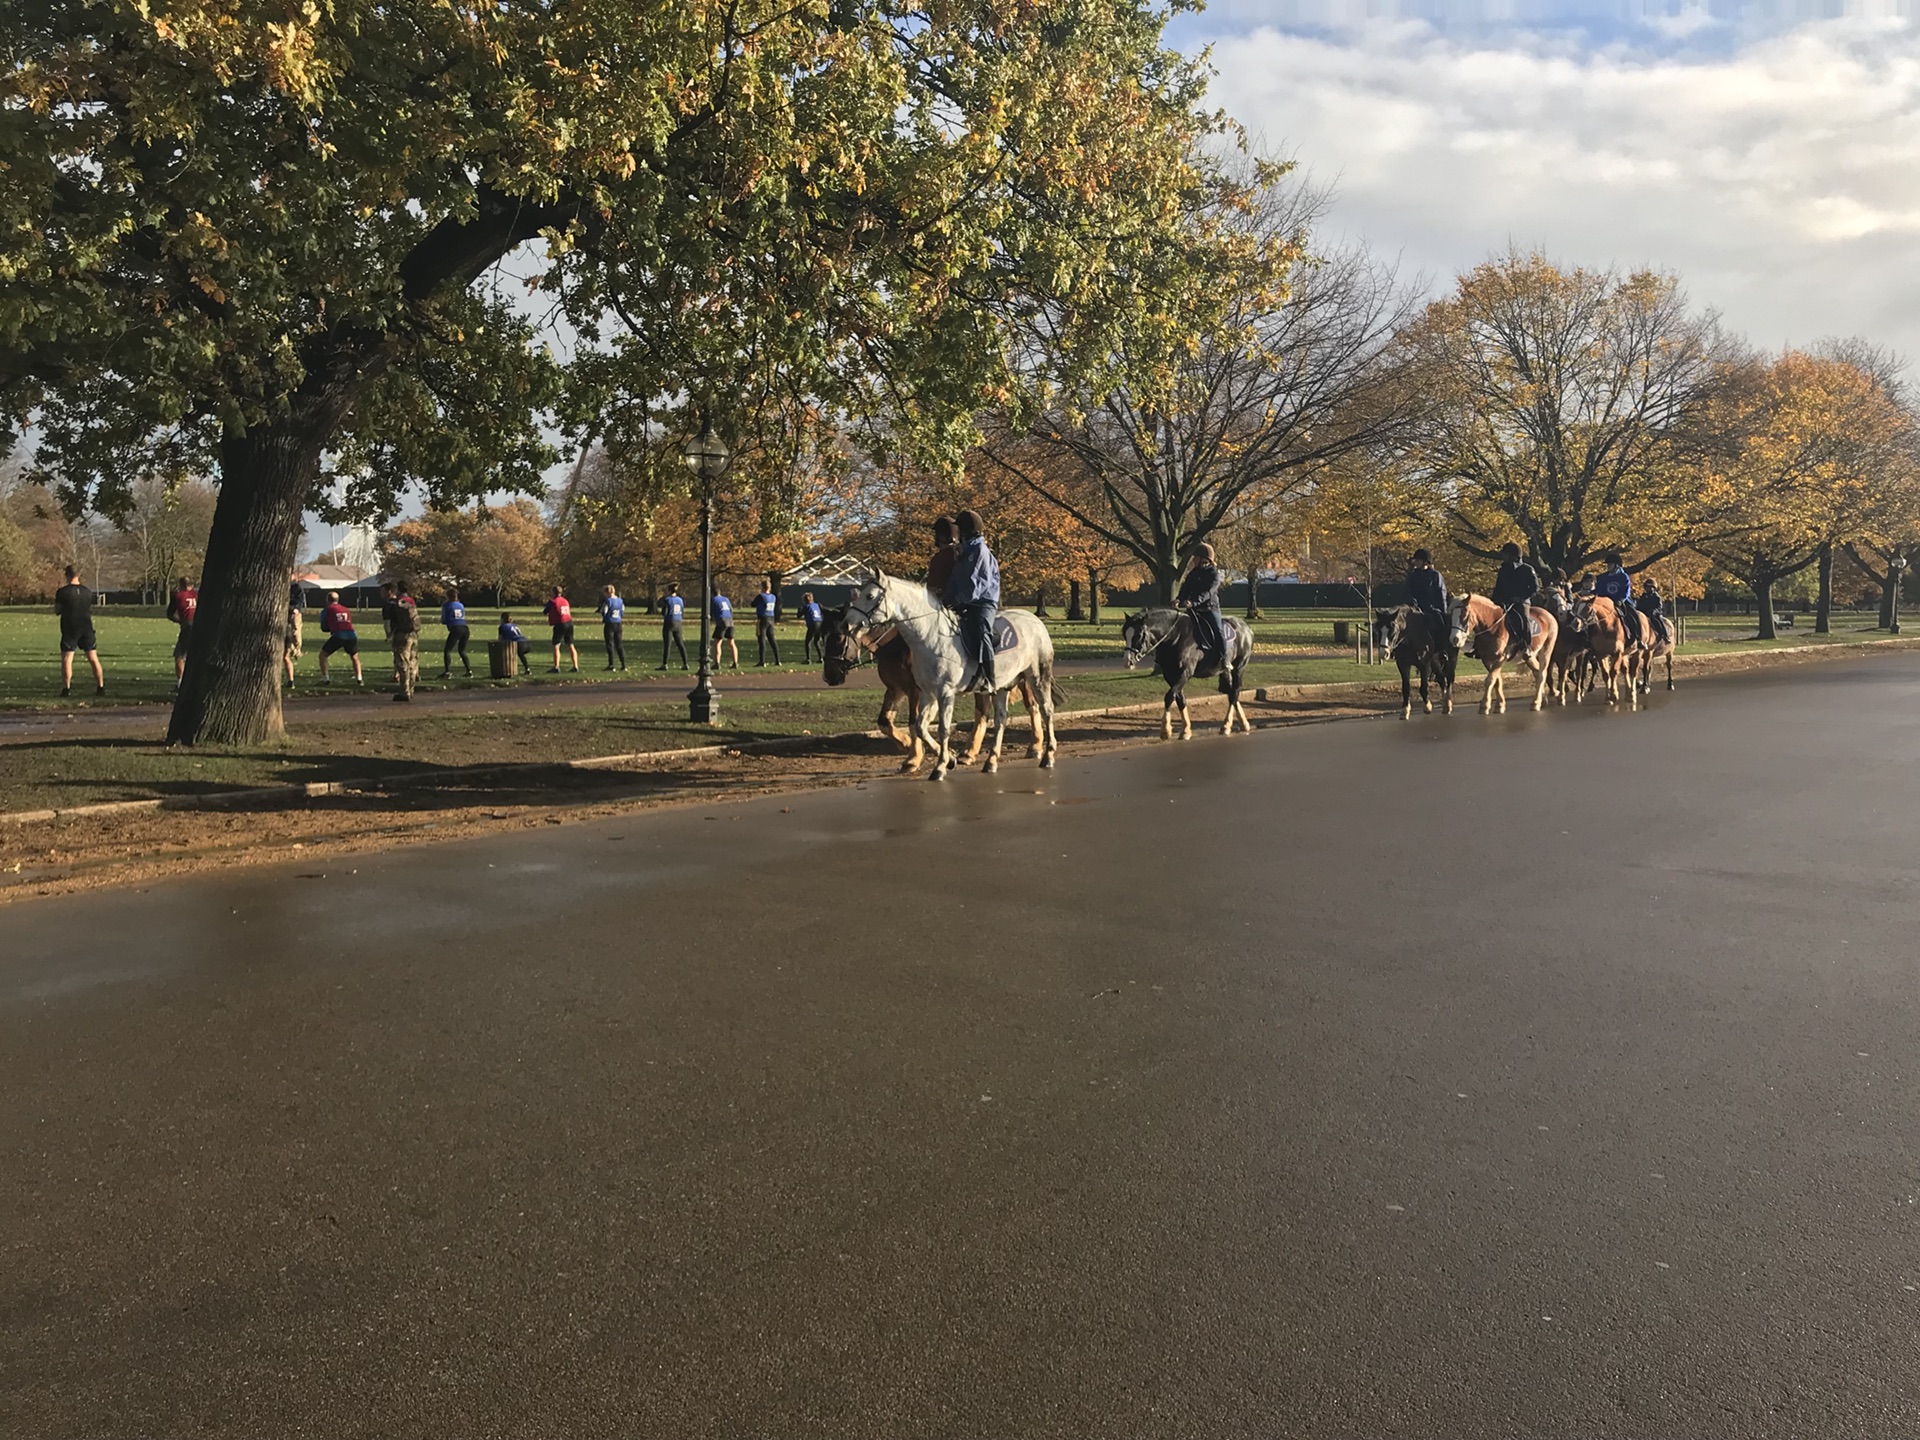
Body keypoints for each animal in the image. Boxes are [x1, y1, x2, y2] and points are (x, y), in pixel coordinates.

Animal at [848, 572, 1067, 783]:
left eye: (870, 596)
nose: (848, 623)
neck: (931, 638)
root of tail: (1035, 621)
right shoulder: (927, 693)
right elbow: (920, 727)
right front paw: (950, 759)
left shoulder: (945, 693)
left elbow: (943, 729)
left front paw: (939, 768)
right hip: (1002, 686)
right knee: (1001, 720)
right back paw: (991, 761)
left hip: (1037, 678)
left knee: (1046, 710)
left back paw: (1048, 756)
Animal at [1121, 610, 1251, 744]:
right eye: (1125, 635)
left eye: (1139, 635)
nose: (1127, 661)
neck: (1175, 636)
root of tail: (1245, 627)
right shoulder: (1170, 676)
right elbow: (1180, 699)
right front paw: (1185, 730)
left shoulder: (1185, 673)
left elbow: (1169, 697)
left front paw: (1165, 730)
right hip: (1224, 671)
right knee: (1230, 692)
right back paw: (1242, 723)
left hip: (1239, 668)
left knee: (1234, 693)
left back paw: (1226, 725)